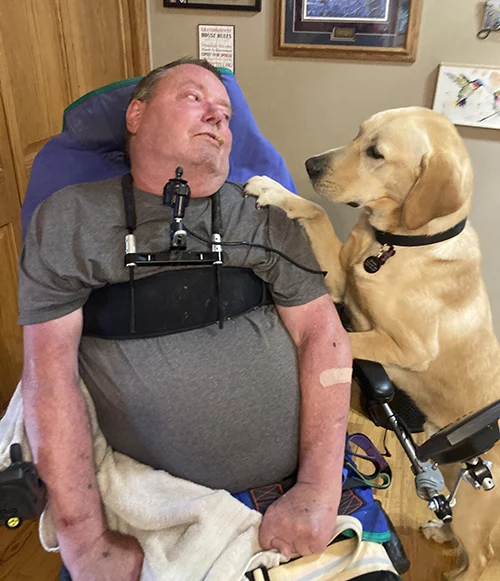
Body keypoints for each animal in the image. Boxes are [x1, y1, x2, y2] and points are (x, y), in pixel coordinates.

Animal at [245, 106, 500, 576]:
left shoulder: (411, 349)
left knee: (482, 559)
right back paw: (439, 532)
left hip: (479, 501)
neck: (394, 245)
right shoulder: (339, 281)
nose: (310, 164)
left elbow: (346, 340)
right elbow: (315, 210)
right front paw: (274, 190)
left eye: (376, 153)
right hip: (455, 476)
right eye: (357, 133)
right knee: (452, 515)